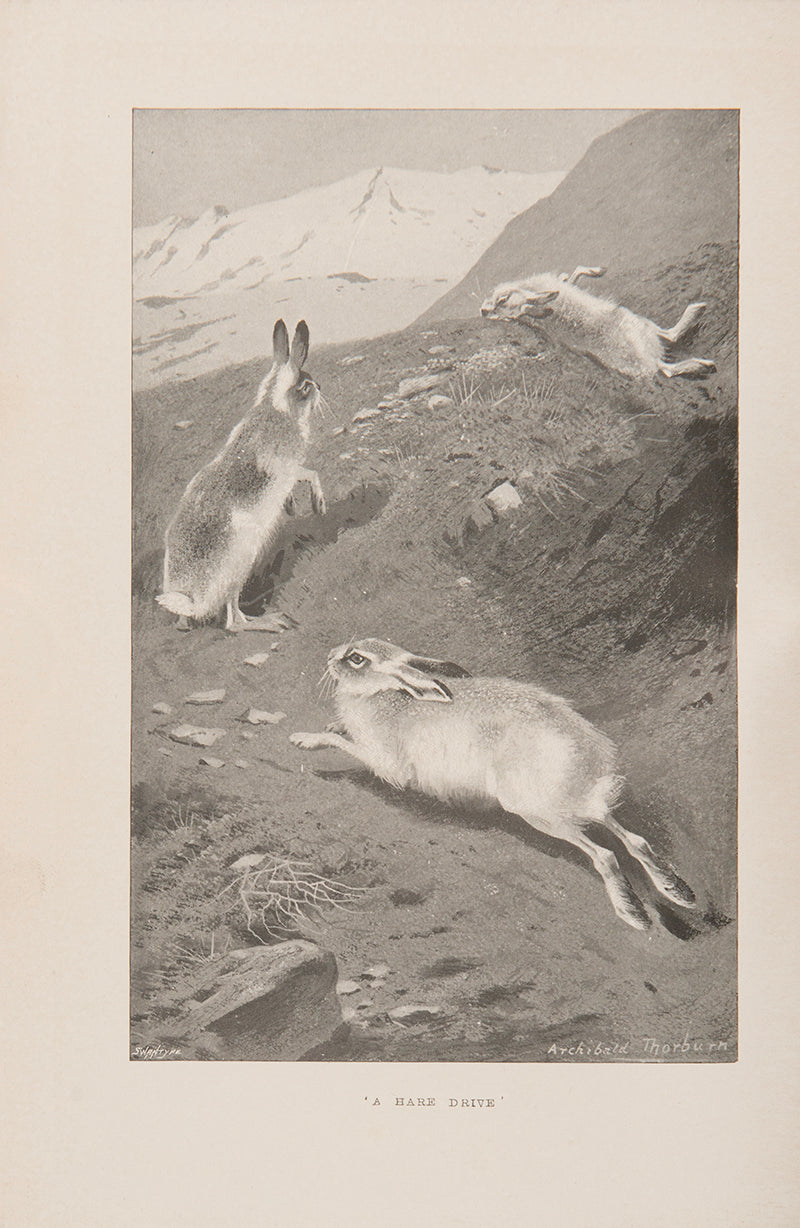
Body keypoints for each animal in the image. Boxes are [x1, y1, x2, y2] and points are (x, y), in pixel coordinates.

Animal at [156, 319, 326, 631]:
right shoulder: (286, 466)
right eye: (305, 384)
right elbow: (310, 473)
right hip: (241, 560)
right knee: (233, 621)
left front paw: (291, 507)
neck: (276, 406)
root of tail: (194, 601)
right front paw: (318, 504)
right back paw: (270, 621)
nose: (319, 387)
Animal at [290, 638, 696, 930]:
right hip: (570, 805)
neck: (387, 695)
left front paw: (305, 740)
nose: (330, 655)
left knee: (605, 855)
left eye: (357, 659)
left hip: (533, 808)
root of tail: (589, 761)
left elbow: (343, 745)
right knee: (633, 838)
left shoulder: (383, 760)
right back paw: (679, 892)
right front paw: (327, 726)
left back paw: (634, 916)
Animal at [480, 266, 714, 380]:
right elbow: (573, 274)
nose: (483, 311)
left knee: (668, 355)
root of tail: (647, 359)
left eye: (502, 300)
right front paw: (597, 271)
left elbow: (572, 275)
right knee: (669, 349)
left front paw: (597, 271)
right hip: (637, 320)